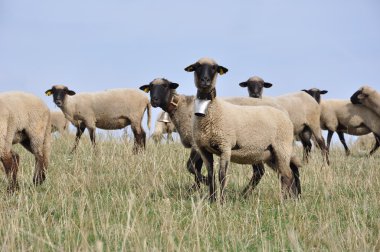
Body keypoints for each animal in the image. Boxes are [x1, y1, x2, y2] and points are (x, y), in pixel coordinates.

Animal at [185, 57, 302, 203]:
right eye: (197, 66)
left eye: (215, 68)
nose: (205, 80)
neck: (213, 109)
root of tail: (285, 116)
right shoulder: (204, 149)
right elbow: (211, 175)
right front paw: (212, 200)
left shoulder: (225, 146)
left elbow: (222, 175)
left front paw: (221, 202)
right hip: (270, 154)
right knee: (285, 174)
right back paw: (291, 199)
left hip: (282, 148)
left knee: (287, 175)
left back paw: (284, 201)